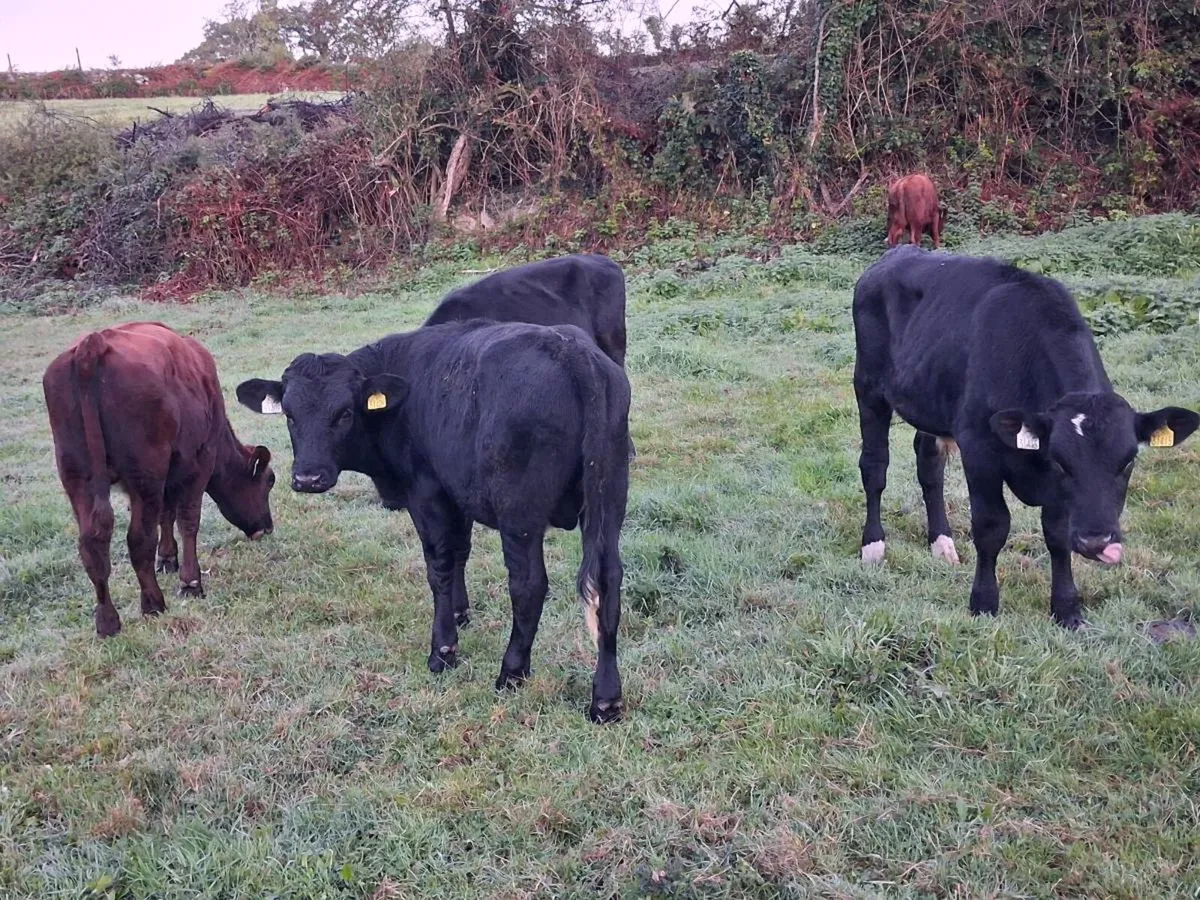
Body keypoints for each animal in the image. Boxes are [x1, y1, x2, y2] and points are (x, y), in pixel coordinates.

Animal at [43, 322, 277, 638]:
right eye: (269, 481)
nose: (266, 528)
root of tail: (91, 346)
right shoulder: (198, 463)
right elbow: (187, 521)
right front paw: (190, 582)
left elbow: (166, 514)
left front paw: (166, 559)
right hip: (145, 473)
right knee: (138, 539)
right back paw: (153, 603)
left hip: (77, 476)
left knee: (93, 543)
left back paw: (107, 621)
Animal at [235, 319, 631, 722]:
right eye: (289, 414)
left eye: (345, 413)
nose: (308, 478)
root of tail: (572, 350)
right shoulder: (457, 493)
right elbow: (459, 553)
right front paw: (460, 612)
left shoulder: (426, 493)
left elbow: (438, 567)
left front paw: (443, 650)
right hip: (609, 499)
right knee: (608, 582)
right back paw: (606, 698)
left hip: (520, 513)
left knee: (529, 585)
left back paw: (511, 671)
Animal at [852, 246, 1198, 628]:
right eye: (1062, 462)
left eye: (1128, 461)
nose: (1095, 541)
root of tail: (898, 252)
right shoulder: (979, 449)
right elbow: (991, 526)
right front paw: (984, 603)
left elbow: (1057, 534)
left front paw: (1066, 609)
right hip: (869, 387)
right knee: (875, 467)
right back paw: (873, 547)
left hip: (930, 401)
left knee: (929, 466)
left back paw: (942, 545)